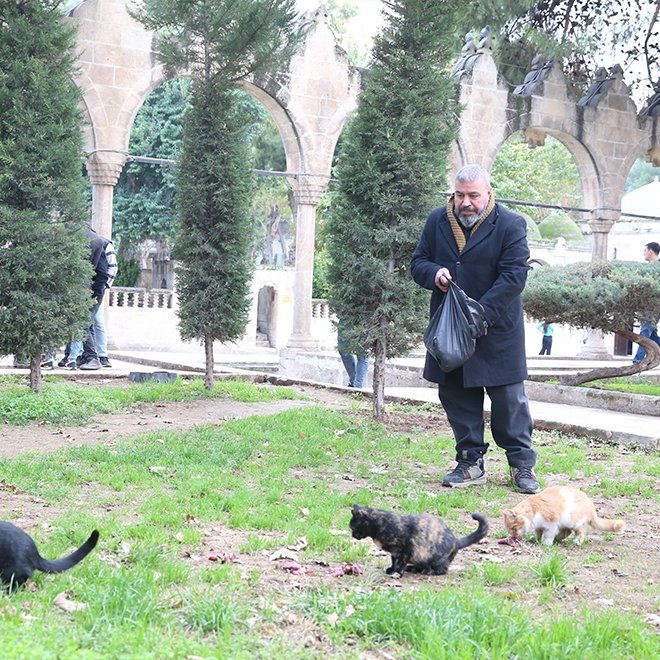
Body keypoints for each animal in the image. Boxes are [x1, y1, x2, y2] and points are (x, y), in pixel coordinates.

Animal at [349, 504, 489, 577]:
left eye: (353, 527)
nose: (352, 535)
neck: (381, 523)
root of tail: (456, 541)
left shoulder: (405, 550)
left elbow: (401, 562)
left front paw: (397, 573)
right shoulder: (395, 552)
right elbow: (394, 561)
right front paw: (392, 569)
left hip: (434, 558)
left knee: (442, 570)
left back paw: (429, 571)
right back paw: (413, 568)